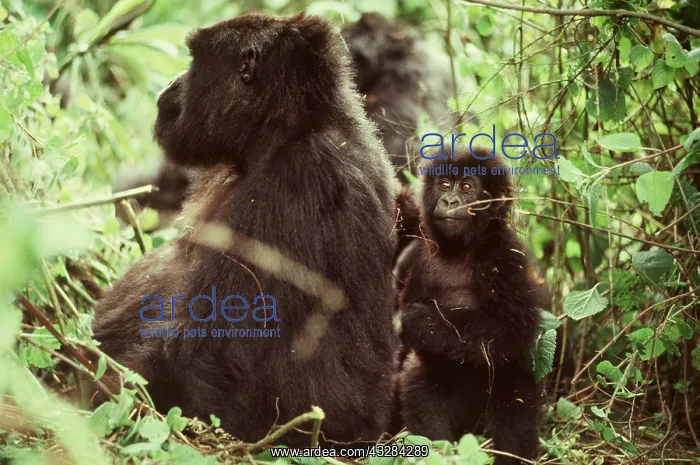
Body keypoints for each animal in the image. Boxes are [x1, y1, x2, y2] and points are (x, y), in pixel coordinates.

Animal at [396, 145, 547, 464]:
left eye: (467, 187)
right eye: (444, 184)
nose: (449, 201)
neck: (462, 247)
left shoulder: (505, 255)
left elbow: (511, 331)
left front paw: (420, 323)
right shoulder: (421, 256)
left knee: (514, 391)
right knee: (420, 379)